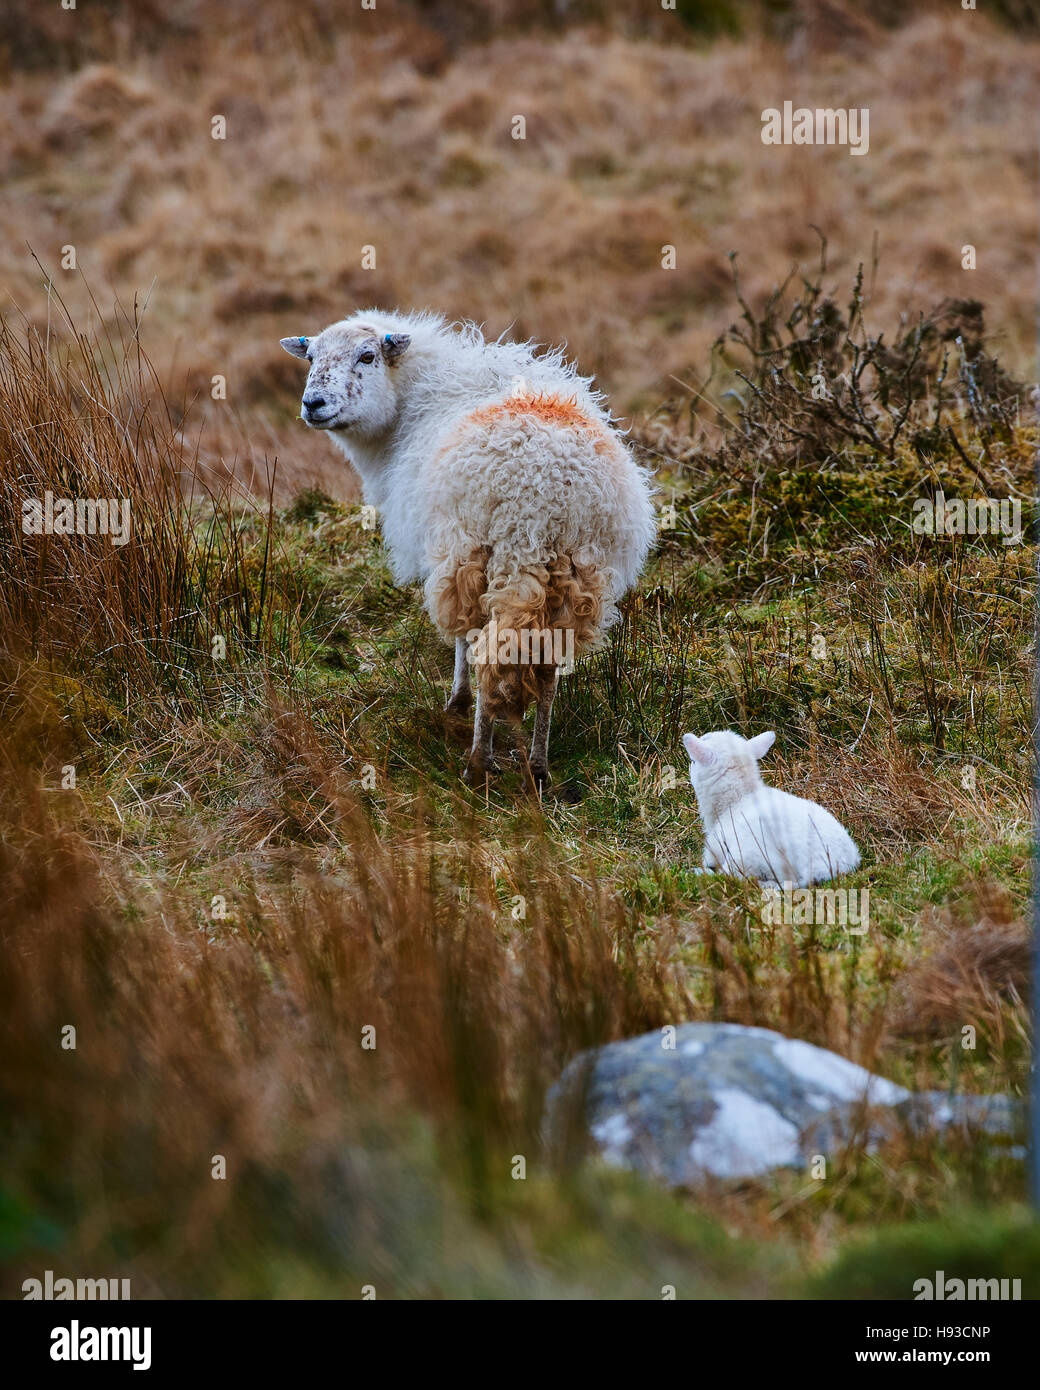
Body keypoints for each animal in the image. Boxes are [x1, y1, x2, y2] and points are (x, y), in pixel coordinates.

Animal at [282, 312, 659, 783]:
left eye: (367, 356)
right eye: (310, 358)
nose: (313, 403)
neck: (411, 399)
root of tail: (547, 490)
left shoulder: (451, 555)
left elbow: (462, 638)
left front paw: (457, 704)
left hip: (487, 552)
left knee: (488, 655)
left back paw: (479, 761)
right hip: (576, 571)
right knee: (547, 668)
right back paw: (538, 766)